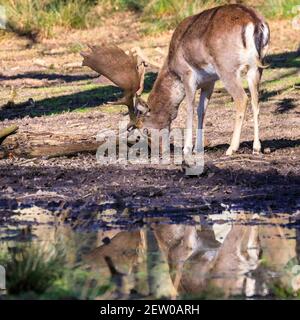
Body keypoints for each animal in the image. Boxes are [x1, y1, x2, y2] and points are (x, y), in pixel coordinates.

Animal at [81, 2, 270, 158]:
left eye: (144, 131)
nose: (157, 151)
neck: (172, 65)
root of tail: (254, 22)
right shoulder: (209, 81)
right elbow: (201, 110)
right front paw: (197, 148)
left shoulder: (188, 74)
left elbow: (189, 109)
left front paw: (187, 149)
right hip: (257, 67)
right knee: (256, 100)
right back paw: (256, 147)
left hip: (227, 67)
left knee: (242, 99)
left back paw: (232, 148)